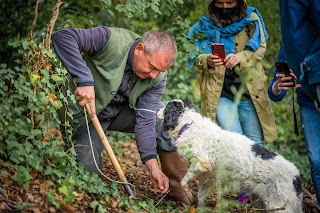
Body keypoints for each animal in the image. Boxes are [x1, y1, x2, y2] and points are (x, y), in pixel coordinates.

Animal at [159, 100, 304, 213]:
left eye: (166, 107)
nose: (157, 109)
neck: (189, 125)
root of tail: (296, 176)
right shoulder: (207, 178)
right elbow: (200, 198)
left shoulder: (201, 162)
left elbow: (183, 180)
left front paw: (185, 190)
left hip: (277, 206)